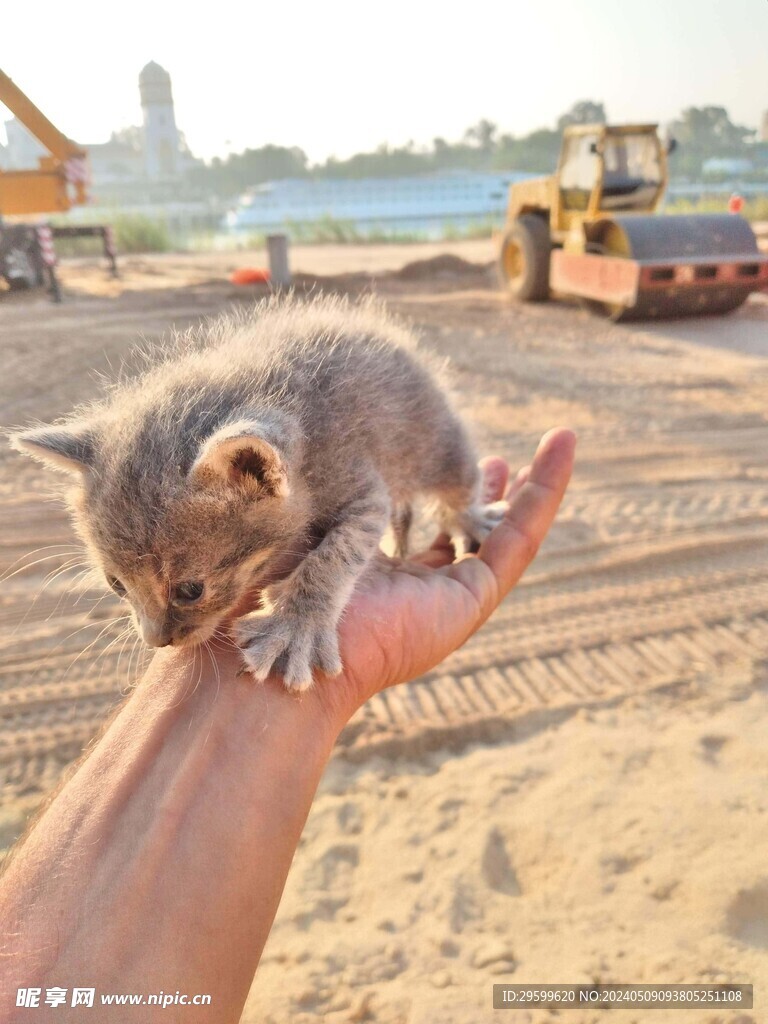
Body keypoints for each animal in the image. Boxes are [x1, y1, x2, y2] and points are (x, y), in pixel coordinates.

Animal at [13, 292, 505, 688]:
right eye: (115, 585)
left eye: (190, 590)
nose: (158, 641)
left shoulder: (359, 484)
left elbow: (334, 556)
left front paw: (295, 626)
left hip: (435, 438)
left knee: (457, 481)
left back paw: (468, 519)